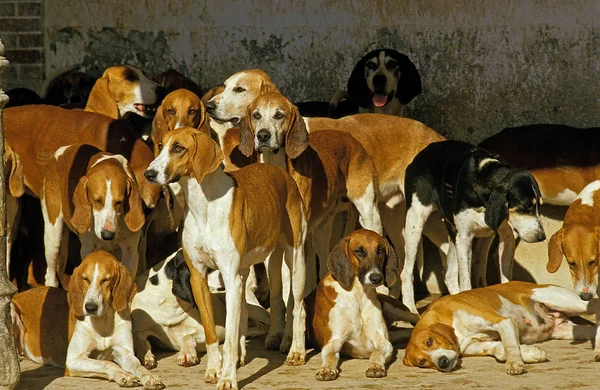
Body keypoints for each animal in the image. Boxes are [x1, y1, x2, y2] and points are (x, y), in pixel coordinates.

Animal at [134, 250, 272, 368]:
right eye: (210, 265)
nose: (242, 271)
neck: (169, 303)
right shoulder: (141, 331)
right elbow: (142, 341)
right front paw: (146, 356)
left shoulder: (209, 330)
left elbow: (187, 336)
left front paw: (187, 354)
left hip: (251, 309)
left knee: (264, 324)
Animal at [400, 140, 548, 314]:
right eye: (526, 207)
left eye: (539, 206)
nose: (542, 237)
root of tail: (424, 152)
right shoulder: (465, 238)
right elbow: (466, 281)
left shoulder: (506, 236)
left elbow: (504, 278)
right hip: (415, 223)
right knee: (407, 272)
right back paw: (410, 307)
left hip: (463, 235)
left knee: (450, 273)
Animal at [404, 280, 596, 374]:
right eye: (422, 362)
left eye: (430, 341)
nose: (442, 363)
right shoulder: (479, 345)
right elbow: (500, 350)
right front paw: (531, 354)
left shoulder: (503, 322)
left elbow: (509, 347)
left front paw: (515, 363)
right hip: (568, 331)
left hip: (568, 302)